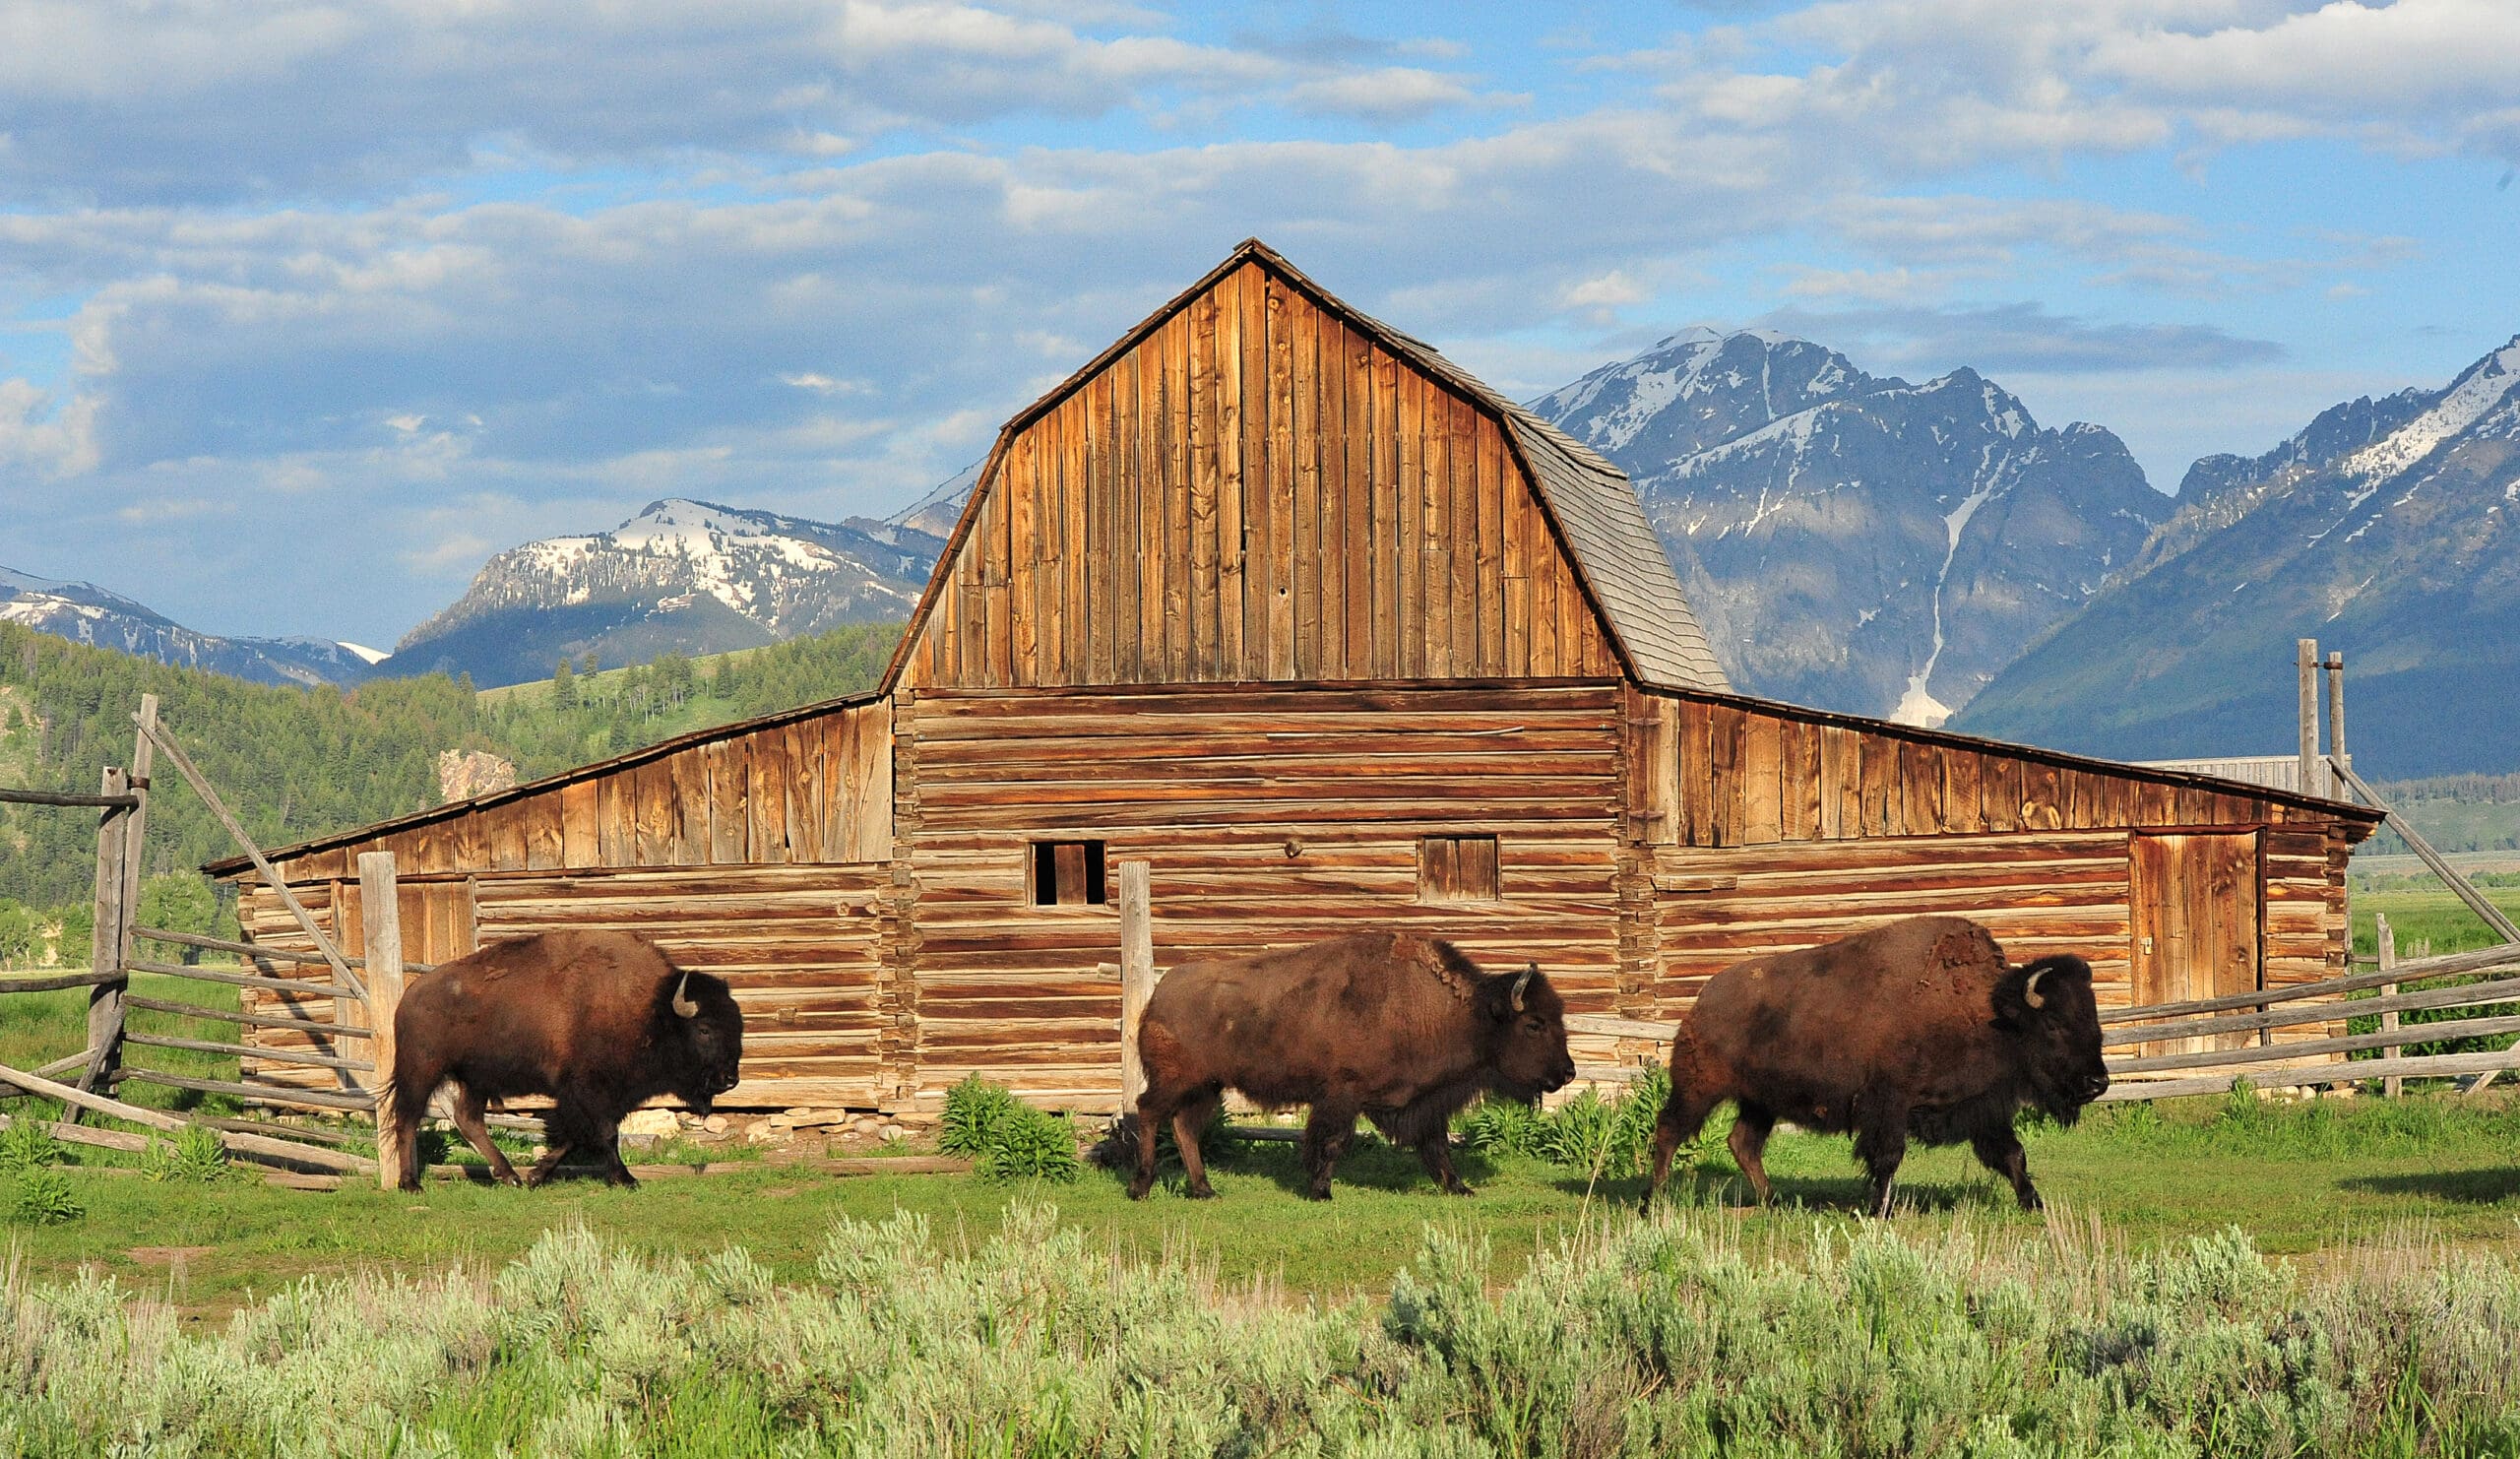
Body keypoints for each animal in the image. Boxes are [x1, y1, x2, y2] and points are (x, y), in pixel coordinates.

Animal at [378, 932, 735, 1194]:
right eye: (704, 1029)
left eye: (736, 1024)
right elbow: (604, 1133)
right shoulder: (589, 1091)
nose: (729, 1079)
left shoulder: (597, 1097)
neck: (650, 1010)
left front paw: (536, 1176)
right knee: (407, 1118)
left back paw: (510, 1177)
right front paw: (626, 1179)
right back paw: (410, 1184)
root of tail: (409, 997)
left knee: (468, 1119)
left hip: (475, 1080)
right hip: (422, 1070)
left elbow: (576, 1136)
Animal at [1128, 937, 1572, 1199]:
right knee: (1148, 1112)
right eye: (1534, 1024)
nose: (1567, 1072)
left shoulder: (1423, 1104)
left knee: (1184, 1127)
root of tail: (1160, 993)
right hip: (1175, 1081)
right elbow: (1334, 1141)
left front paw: (1459, 1187)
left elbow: (1436, 1145)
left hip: (1206, 1086)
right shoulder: (1343, 1095)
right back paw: (1141, 1186)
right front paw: (1320, 1190)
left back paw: (1205, 1190)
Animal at [1643, 912, 2116, 1219]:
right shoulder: (1889, 1105)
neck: (1989, 1013)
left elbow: (2012, 1153)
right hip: (1698, 1089)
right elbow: (1888, 1157)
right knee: (1668, 1131)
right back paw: (1654, 1201)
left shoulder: (1979, 1108)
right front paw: (1879, 1211)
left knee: (1743, 1144)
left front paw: (2033, 1203)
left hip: (1760, 1102)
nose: (2098, 1082)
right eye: (2054, 1024)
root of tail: (1701, 1003)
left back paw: (1773, 1202)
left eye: (2093, 1020)